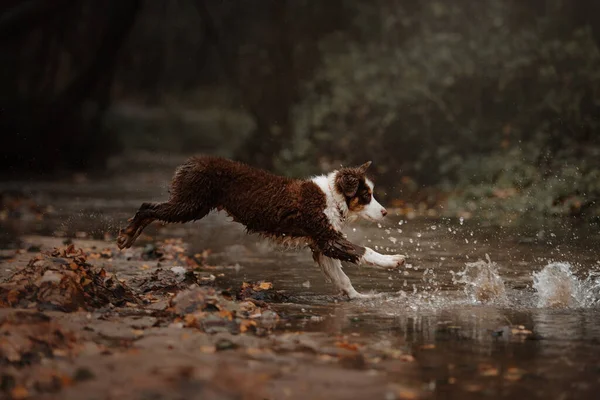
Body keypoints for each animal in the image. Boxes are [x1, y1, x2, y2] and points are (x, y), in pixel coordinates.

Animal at [118, 156, 406, 300]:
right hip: (190, 204)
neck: (333, 197)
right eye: (366, 195)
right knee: (147, 206)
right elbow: (363, 250)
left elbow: (341, 277)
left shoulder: (320, 243)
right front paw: (394, 260)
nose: (385, 212)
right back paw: (127, 236)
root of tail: (191, 162)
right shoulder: (326, 237)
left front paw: (360, 298)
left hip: (193, 205)